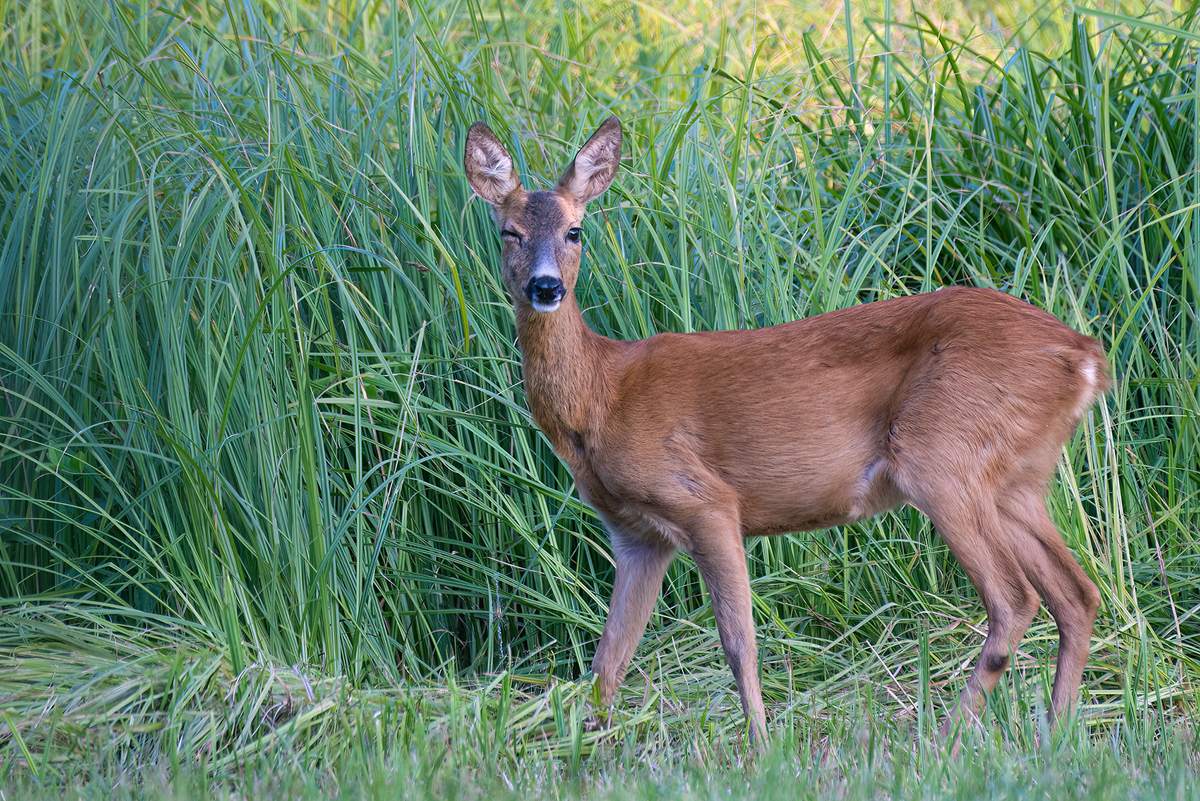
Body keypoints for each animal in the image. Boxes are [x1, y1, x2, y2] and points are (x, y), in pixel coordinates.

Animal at [458, 115, 1104, 743]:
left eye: (575, 232)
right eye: (509, 232)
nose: (546, 287)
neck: (601, 397)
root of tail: (1085, 355)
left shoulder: (704, 501)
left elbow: (738, 642)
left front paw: (761, 747)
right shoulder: (637, 534)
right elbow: (609, 657)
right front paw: (586, 746)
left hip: (941, 454)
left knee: (1015, 600)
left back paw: (940, 740)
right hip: (1016, 477)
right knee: (1077, 594)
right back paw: (1054, 734)